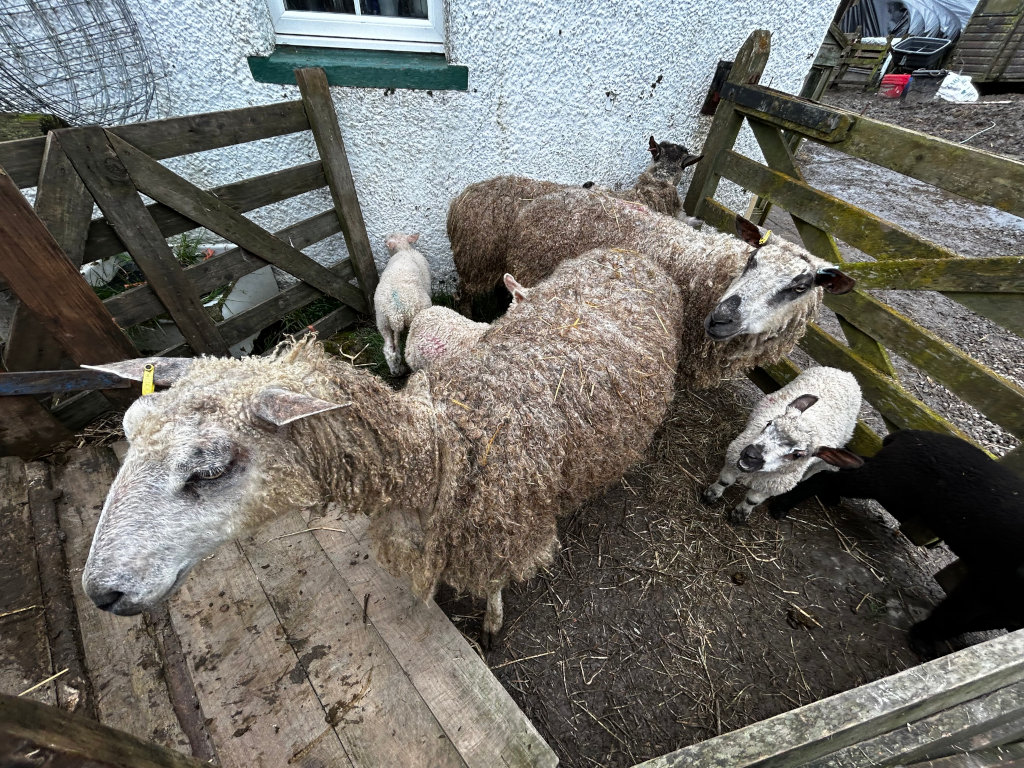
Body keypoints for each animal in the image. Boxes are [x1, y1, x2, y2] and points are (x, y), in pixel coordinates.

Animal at [374, 232, 432, 375]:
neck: (404, 249)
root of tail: (395, 313)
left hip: (383, 323)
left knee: (389, 351)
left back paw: (396, 371)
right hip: (415, 320)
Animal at [702, 366, 862, 524]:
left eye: (797, 454)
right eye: (769, 423)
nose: (751, 454)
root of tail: (847, 374)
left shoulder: (770, 487)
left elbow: (752, 501)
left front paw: (740, 515)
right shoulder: (733, 461)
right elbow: (724, 481)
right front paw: (710, 495)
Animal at [766, 429, 1024, 658]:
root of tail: (908, 433)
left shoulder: (1006, 606)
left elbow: (969, 622)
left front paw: (925, 640)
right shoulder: (989, 583)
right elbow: (955, 613)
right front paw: (921, 639)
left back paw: (828, 498)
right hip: (891, 482)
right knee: (829, 477)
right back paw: (782, 506)